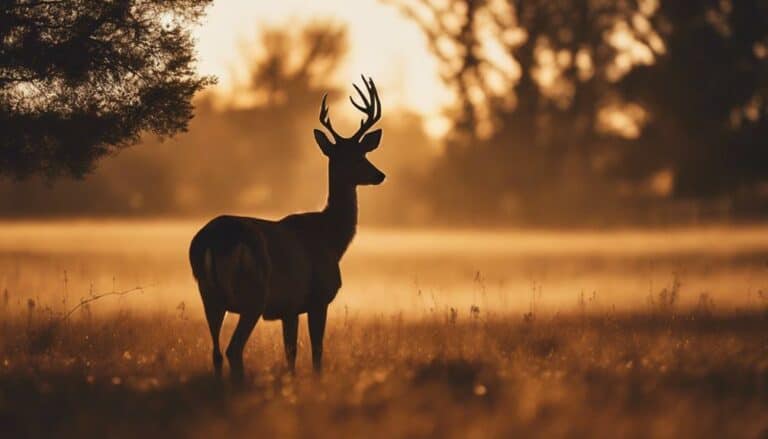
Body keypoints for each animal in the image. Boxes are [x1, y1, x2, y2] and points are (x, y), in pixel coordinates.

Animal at [188, 75, 384, 382]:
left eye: (361, 152)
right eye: (354, 157)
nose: (379, 175)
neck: (331, 240)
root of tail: (213, 241)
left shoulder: (289, 308)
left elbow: (291, 353)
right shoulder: (318, 298)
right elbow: (316, 352)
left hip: (209, 296)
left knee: (216, 352)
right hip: (253, 294)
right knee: (233, 350)